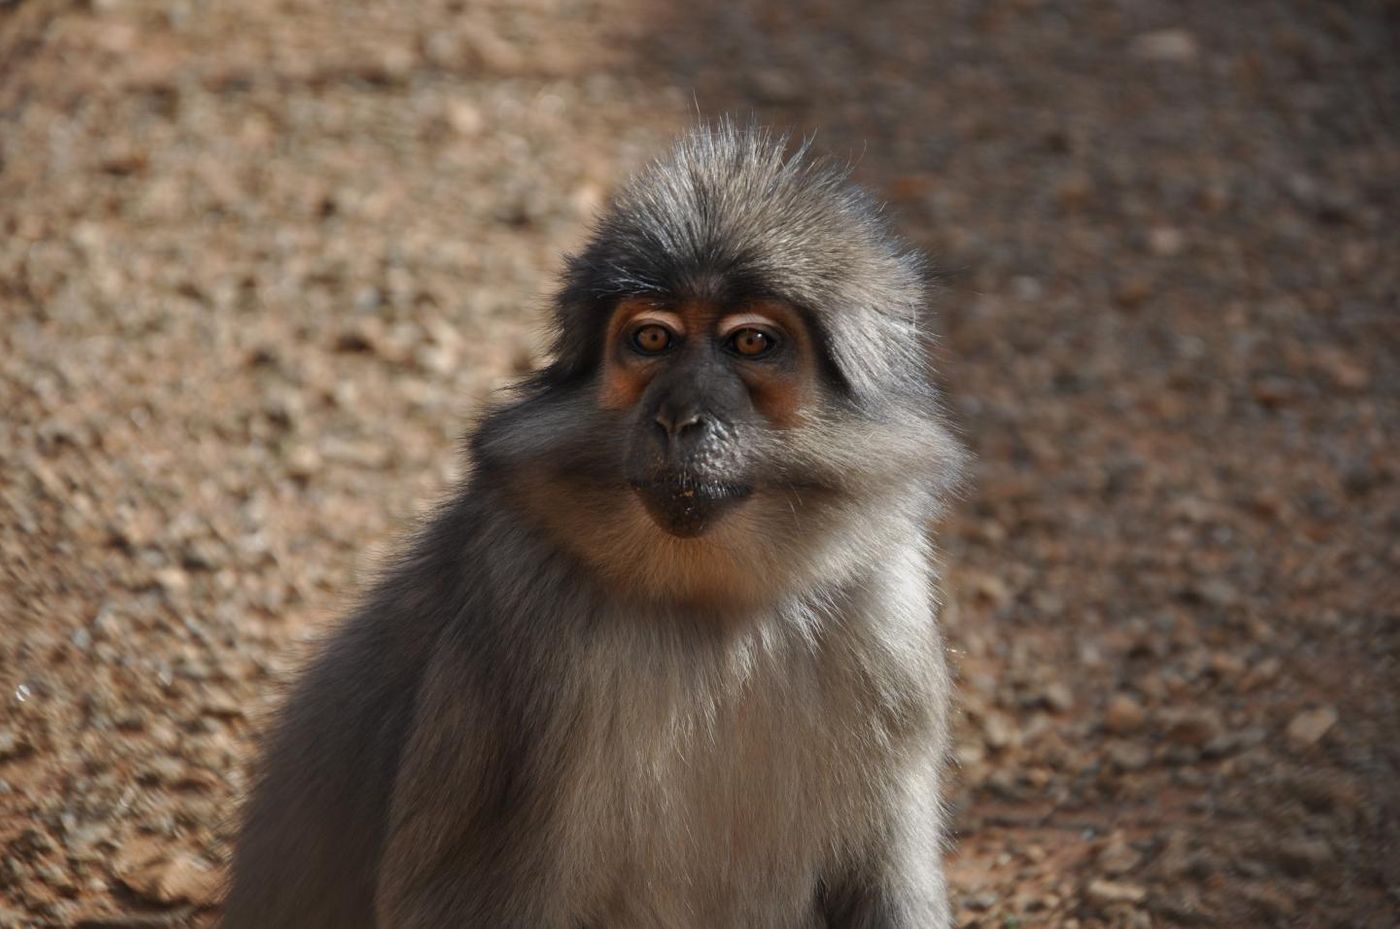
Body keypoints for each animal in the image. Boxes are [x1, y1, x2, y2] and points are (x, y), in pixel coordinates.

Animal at [221, 123, 963, 929]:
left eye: (752, 343)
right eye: (653, 340)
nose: (678, 417)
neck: (708, 607)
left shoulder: (884, 613)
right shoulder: (517, 625)